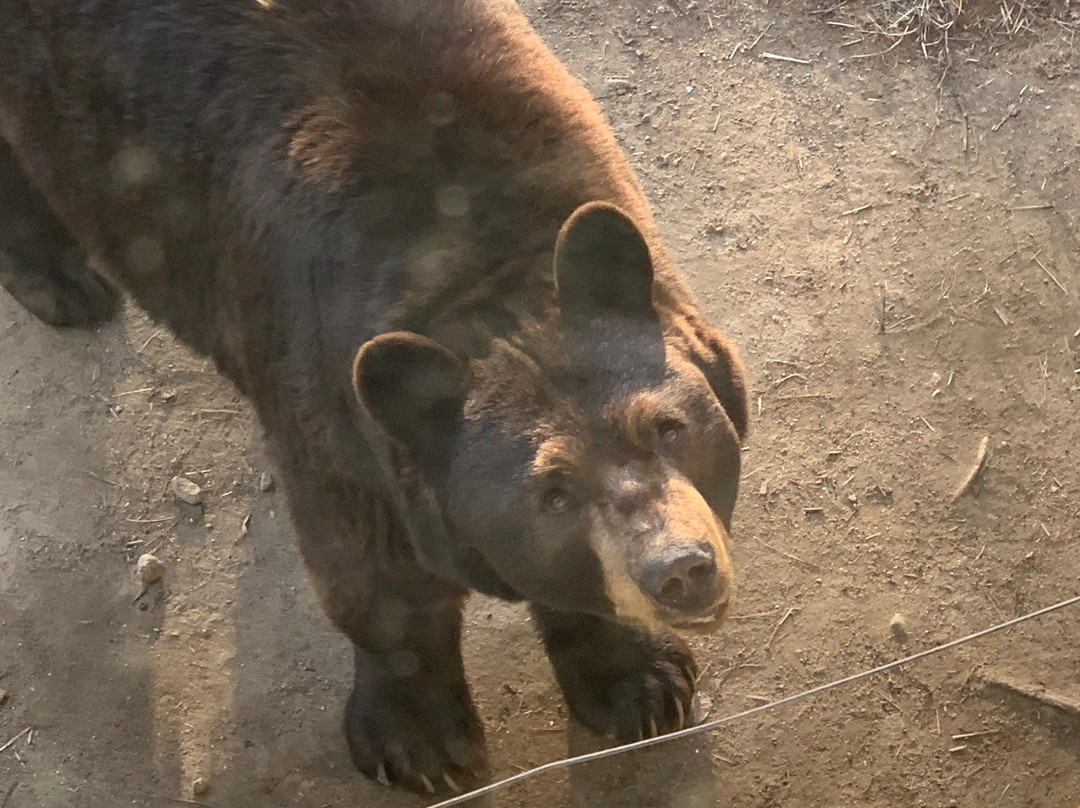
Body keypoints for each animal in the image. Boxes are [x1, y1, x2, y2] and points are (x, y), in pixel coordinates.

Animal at [0, 0, 747, 795]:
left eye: (668, 427)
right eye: (553, 492)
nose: (680, 569)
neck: (473, 259)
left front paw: (642, 680)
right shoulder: (322, 391)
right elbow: (375, 577)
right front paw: (421, 743)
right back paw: (61, 277)